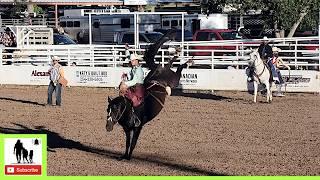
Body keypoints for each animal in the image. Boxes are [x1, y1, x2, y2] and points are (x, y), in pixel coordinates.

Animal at [105, 29, 190, 160]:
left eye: (116, 110)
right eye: (107, 110)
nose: (108, 126)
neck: (128, 108)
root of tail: (157, 70)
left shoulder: (137, 128)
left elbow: (133, 143)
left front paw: (129, 157)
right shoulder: (127, 129)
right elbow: (127, 143)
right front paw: (124, 156)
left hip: (174, 80)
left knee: (177, 69)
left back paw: (186, 60)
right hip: (167, 73)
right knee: (168, 63)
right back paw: (176, 53)